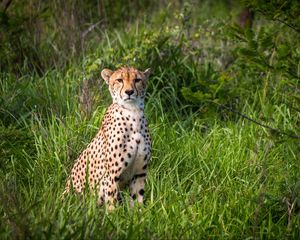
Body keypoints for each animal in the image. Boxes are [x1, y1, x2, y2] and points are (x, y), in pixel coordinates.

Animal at [64, 66, 151, 209]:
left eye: (137, 80)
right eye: (119, 80)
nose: (129, 92)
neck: (133, 113)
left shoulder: (139, 173)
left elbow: (137, 200)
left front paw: (139, 213)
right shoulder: (112, 175)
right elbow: (112, 203)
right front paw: (114, 214)